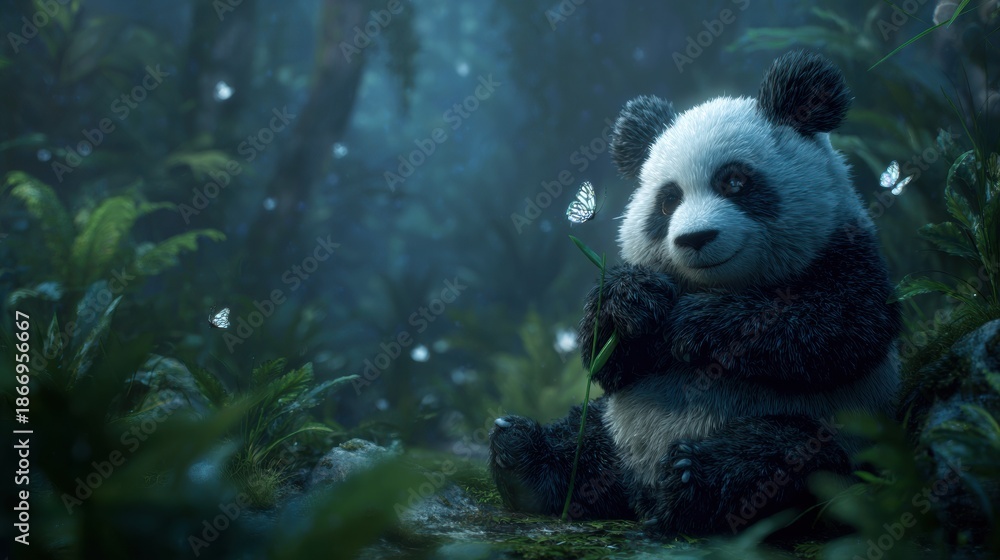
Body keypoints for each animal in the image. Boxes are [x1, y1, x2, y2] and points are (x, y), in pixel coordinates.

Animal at [488, 51, 901, 535]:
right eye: (668, 201)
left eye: (734, 182)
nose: (695, 238)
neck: (721, 283)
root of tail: (640, 493)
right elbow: (610, 362)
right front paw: (632, 301)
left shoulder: (846, 250)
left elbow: (838, 329)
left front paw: (693, 323)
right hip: (615, 427)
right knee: (581, 438)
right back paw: (523, 459)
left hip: (838, 433)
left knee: (787, 456)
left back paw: (695, 480)